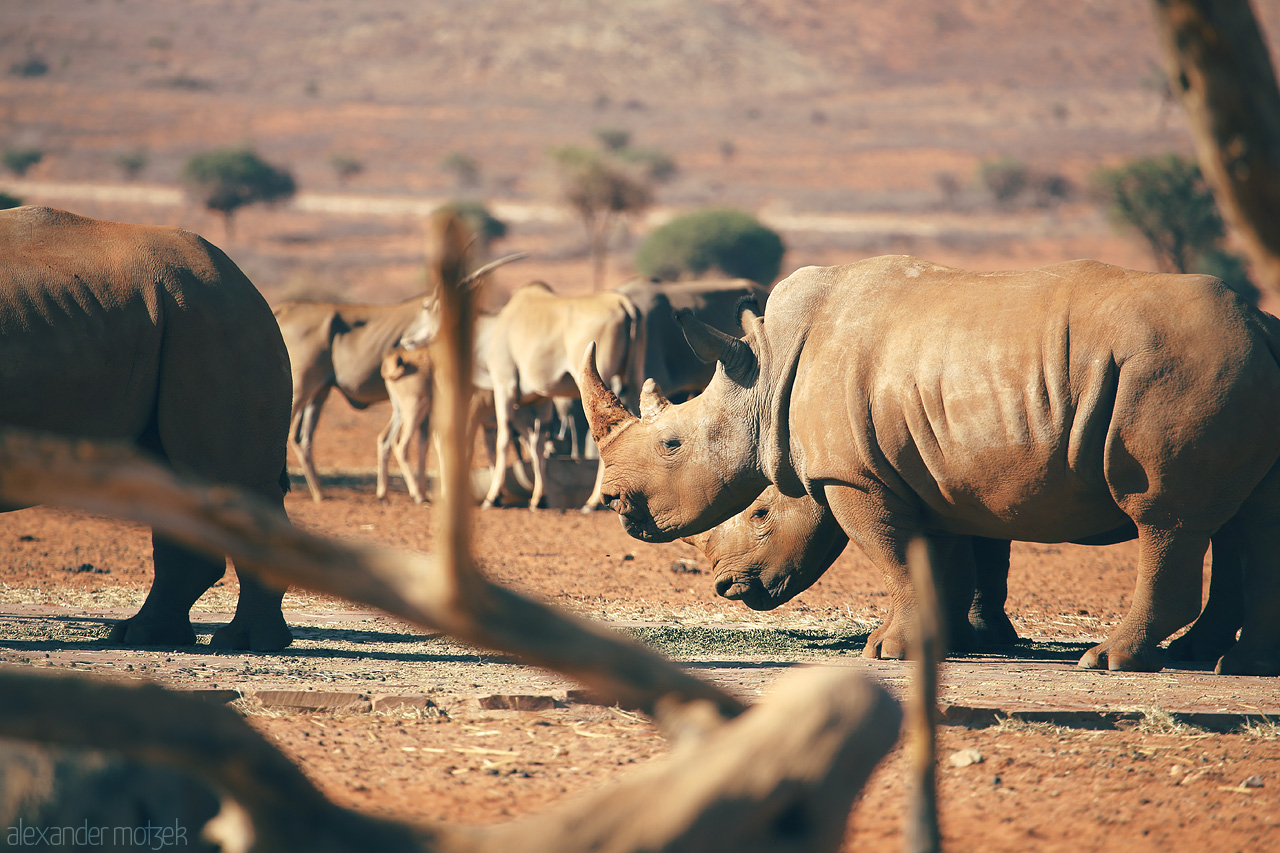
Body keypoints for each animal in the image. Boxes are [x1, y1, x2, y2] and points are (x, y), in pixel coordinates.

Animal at [586, 256, 1280, 676]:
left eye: (672, 445)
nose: (617, 505)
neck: (764, 376)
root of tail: (1260, 325)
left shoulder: (856, 476)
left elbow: (895, 556)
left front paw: (890, 652)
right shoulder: (932, 470)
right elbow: (934, 558)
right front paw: (944, 644)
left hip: (1177, 371)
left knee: (1167, 518)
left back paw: (1109, 660)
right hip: (1221, 367)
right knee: (1248, 521)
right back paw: (1234, 662)